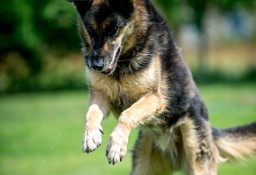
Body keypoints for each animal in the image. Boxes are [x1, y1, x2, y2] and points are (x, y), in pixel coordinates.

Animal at [67, 0, 255, 174]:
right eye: (89, 29)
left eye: (113, 28)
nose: (95, 65)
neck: (123, 62)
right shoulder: (100, 96)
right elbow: (91, 113)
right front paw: (90, 136)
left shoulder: (155, 99)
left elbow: (127, 114)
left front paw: (115, 145)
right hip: (143, 164)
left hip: (196, 154)